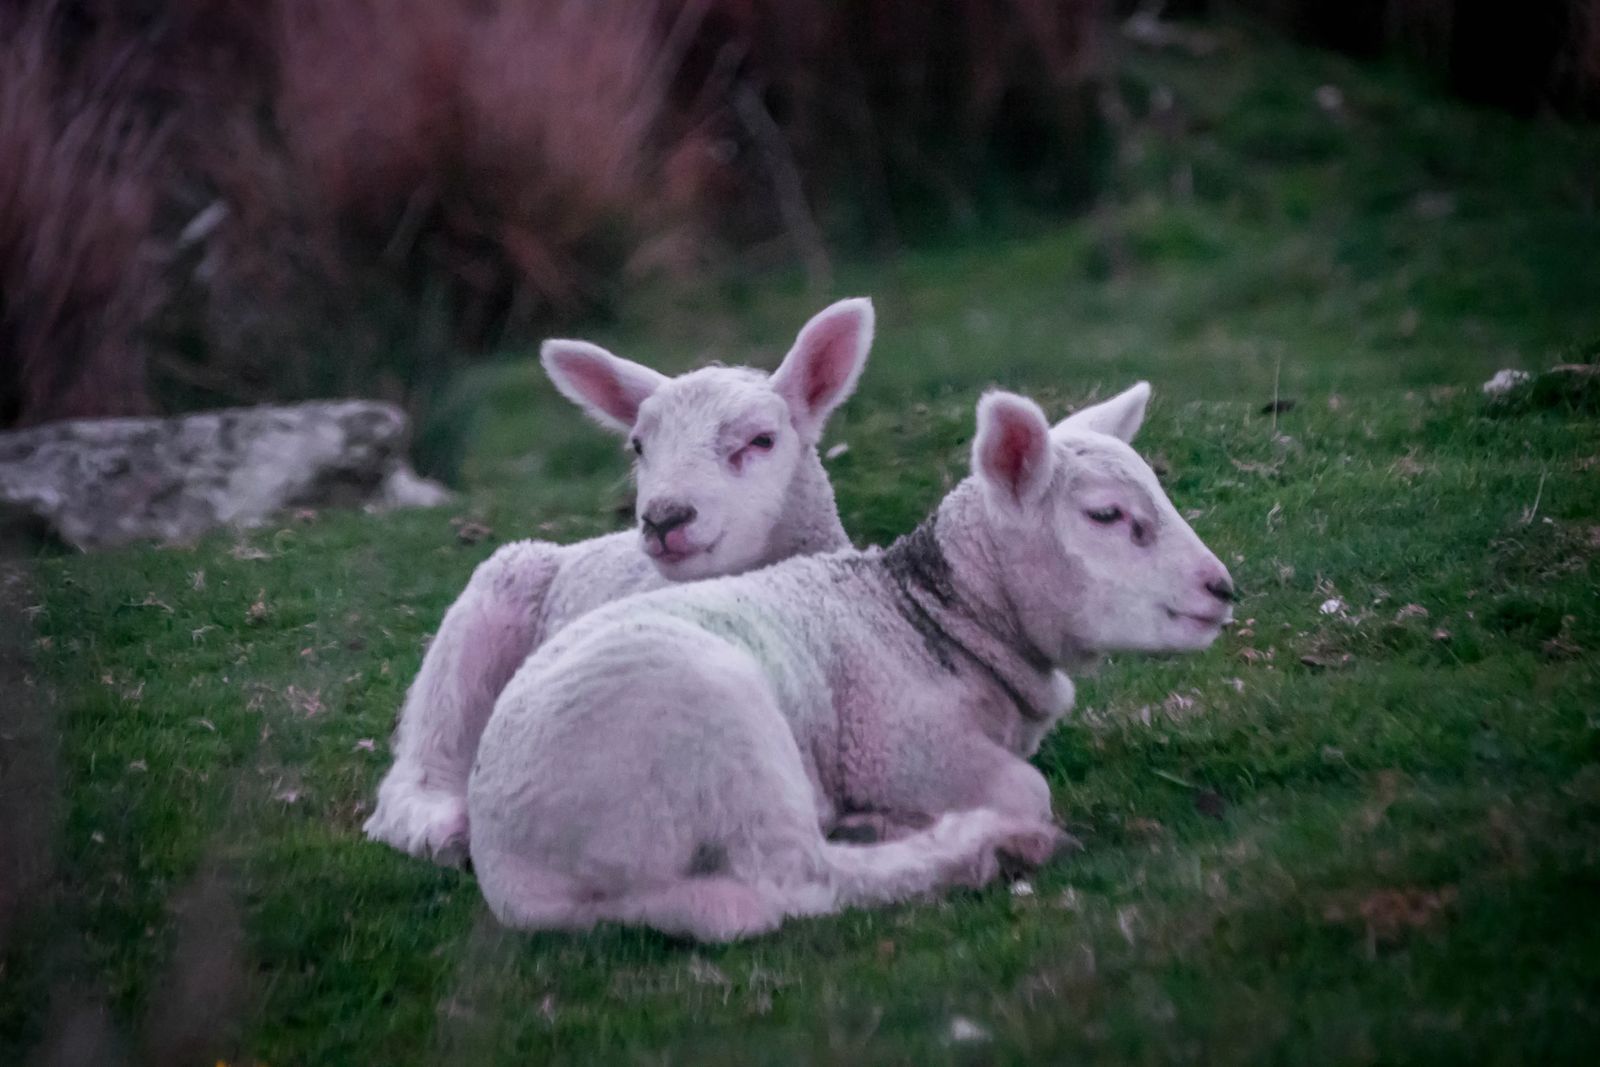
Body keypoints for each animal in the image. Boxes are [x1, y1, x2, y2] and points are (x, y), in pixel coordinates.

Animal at [464, 379, 1235, 940]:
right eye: (1106, 516)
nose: (1222, 588)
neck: (930, 614)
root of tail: (516, 876)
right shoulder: (900, 745)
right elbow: (1028, 789)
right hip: (720, 728)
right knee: (802, 877)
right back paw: (977, 846)